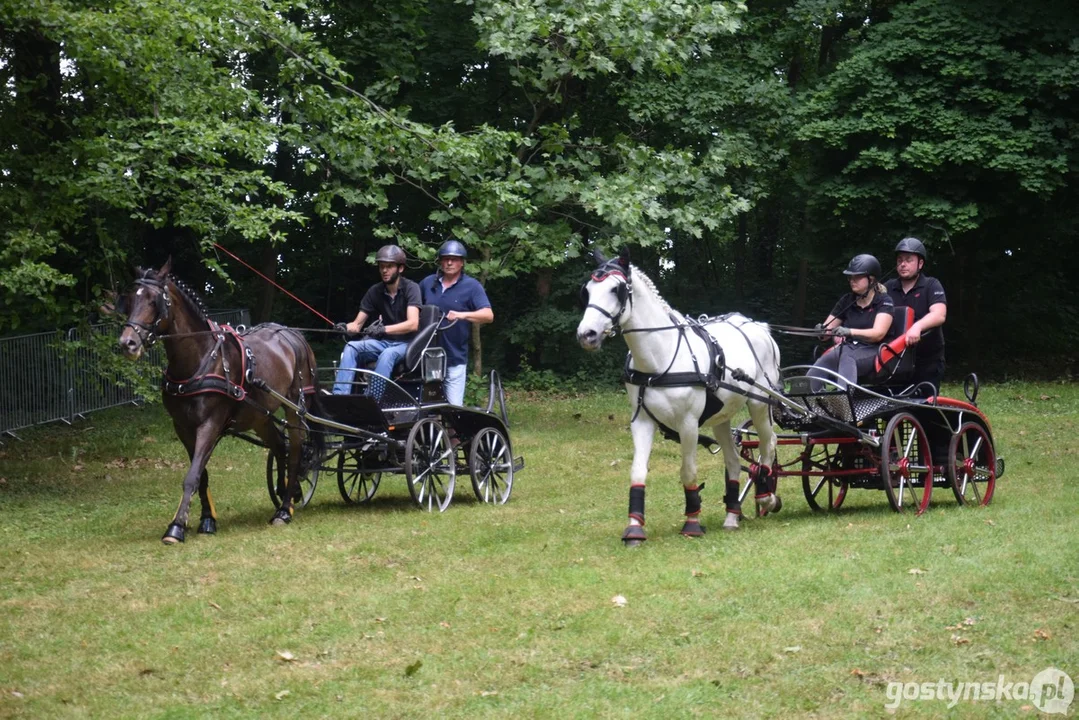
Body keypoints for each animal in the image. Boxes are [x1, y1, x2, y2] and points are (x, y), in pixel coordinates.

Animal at [119, 262, 319, 544]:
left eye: (154, 301)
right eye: (129, 300)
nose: (127, 343)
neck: (199, 359)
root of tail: (291, 334)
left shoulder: (210, 424)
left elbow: (192, 475)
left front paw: (176, 527)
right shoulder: (183, 428)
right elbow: (201, 474)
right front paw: (206, 520)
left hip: (294, 406)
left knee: (297, 448)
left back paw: (284, 509)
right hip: (260, 416)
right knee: (281, 446)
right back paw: (287, 496)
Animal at [578, 249, 781, 546]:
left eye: (616, 289)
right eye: (587, 290)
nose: (587, 335)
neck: (659, 360)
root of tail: (758, 327)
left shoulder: (688, 424)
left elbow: (688, 471)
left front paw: (692, 522)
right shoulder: (641, 421)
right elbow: (637, 471)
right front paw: (634, 528)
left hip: (759, 403)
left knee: (768, 445)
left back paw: (766, 496)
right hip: (722, 417)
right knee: (733, 461)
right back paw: (732, 516)